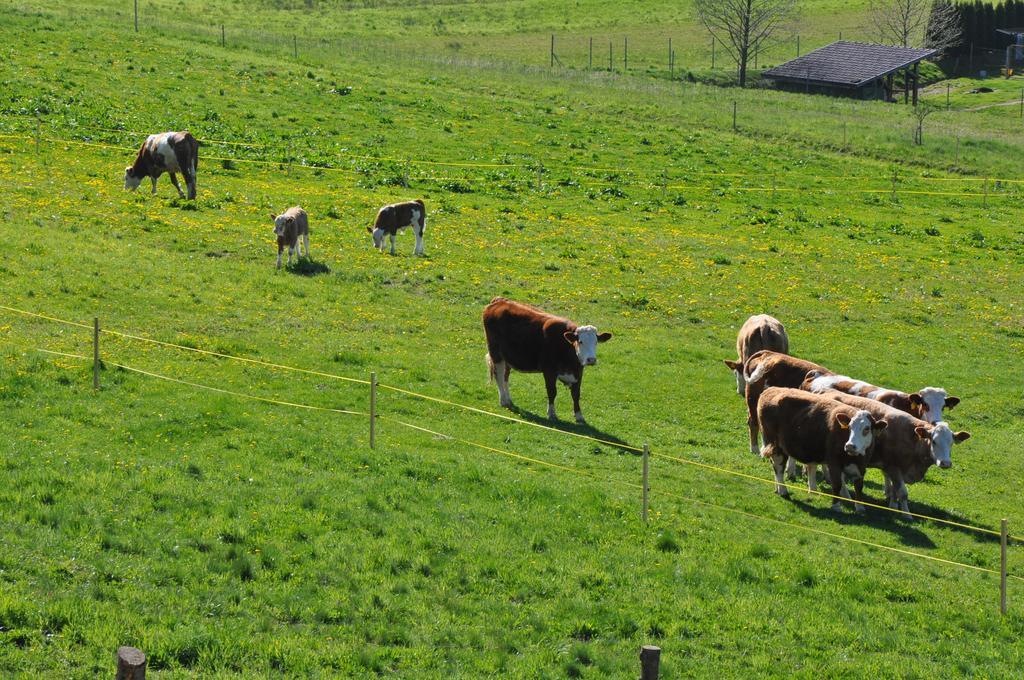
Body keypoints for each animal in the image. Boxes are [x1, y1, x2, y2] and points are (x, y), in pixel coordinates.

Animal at [753, 385, 888, 512]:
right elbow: (837, 483)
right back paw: (783, 490)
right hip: (776, 445)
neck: (853, 458)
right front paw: (836, 506)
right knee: (778, 466)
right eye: (849, 427)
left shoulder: (861, 466)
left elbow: (859, 486)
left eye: (867, 429)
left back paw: (777, 488)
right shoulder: (834, 462)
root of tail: (770, 390)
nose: (850, 446)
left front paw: (860, 507)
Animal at [815, 391, 966, 518]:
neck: (911, 437)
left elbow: (894, 489)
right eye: (934, 441)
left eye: (951, 443)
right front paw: (906, 514)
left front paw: (893, 505)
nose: (946, 463)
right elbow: (903, 492)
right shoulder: (893, 467)